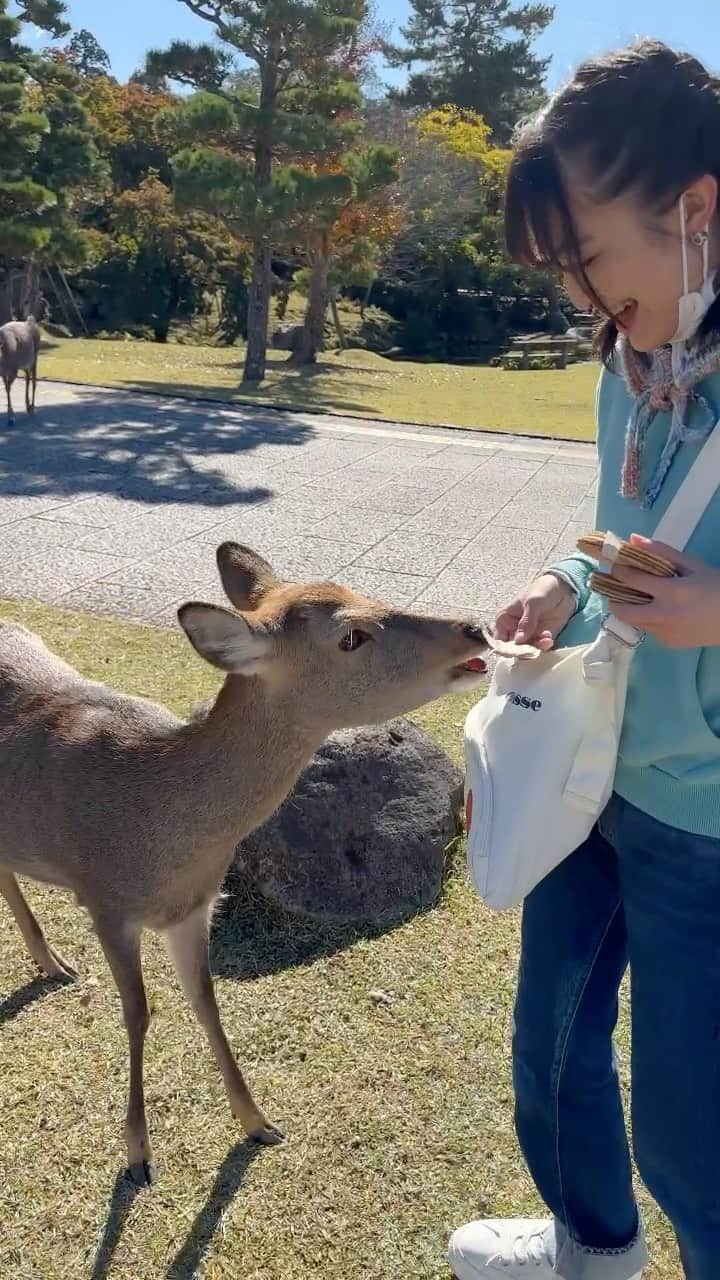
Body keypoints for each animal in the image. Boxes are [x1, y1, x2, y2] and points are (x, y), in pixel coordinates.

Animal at [0, 537, 486, 1177]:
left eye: (363, 591)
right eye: (351, 636)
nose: (475, 630)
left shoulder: (195, 908)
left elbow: (206, 1002)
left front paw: (258, 1123)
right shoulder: (105, 899)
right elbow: (138, 1013)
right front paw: (137, 1154)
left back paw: (52, 963)